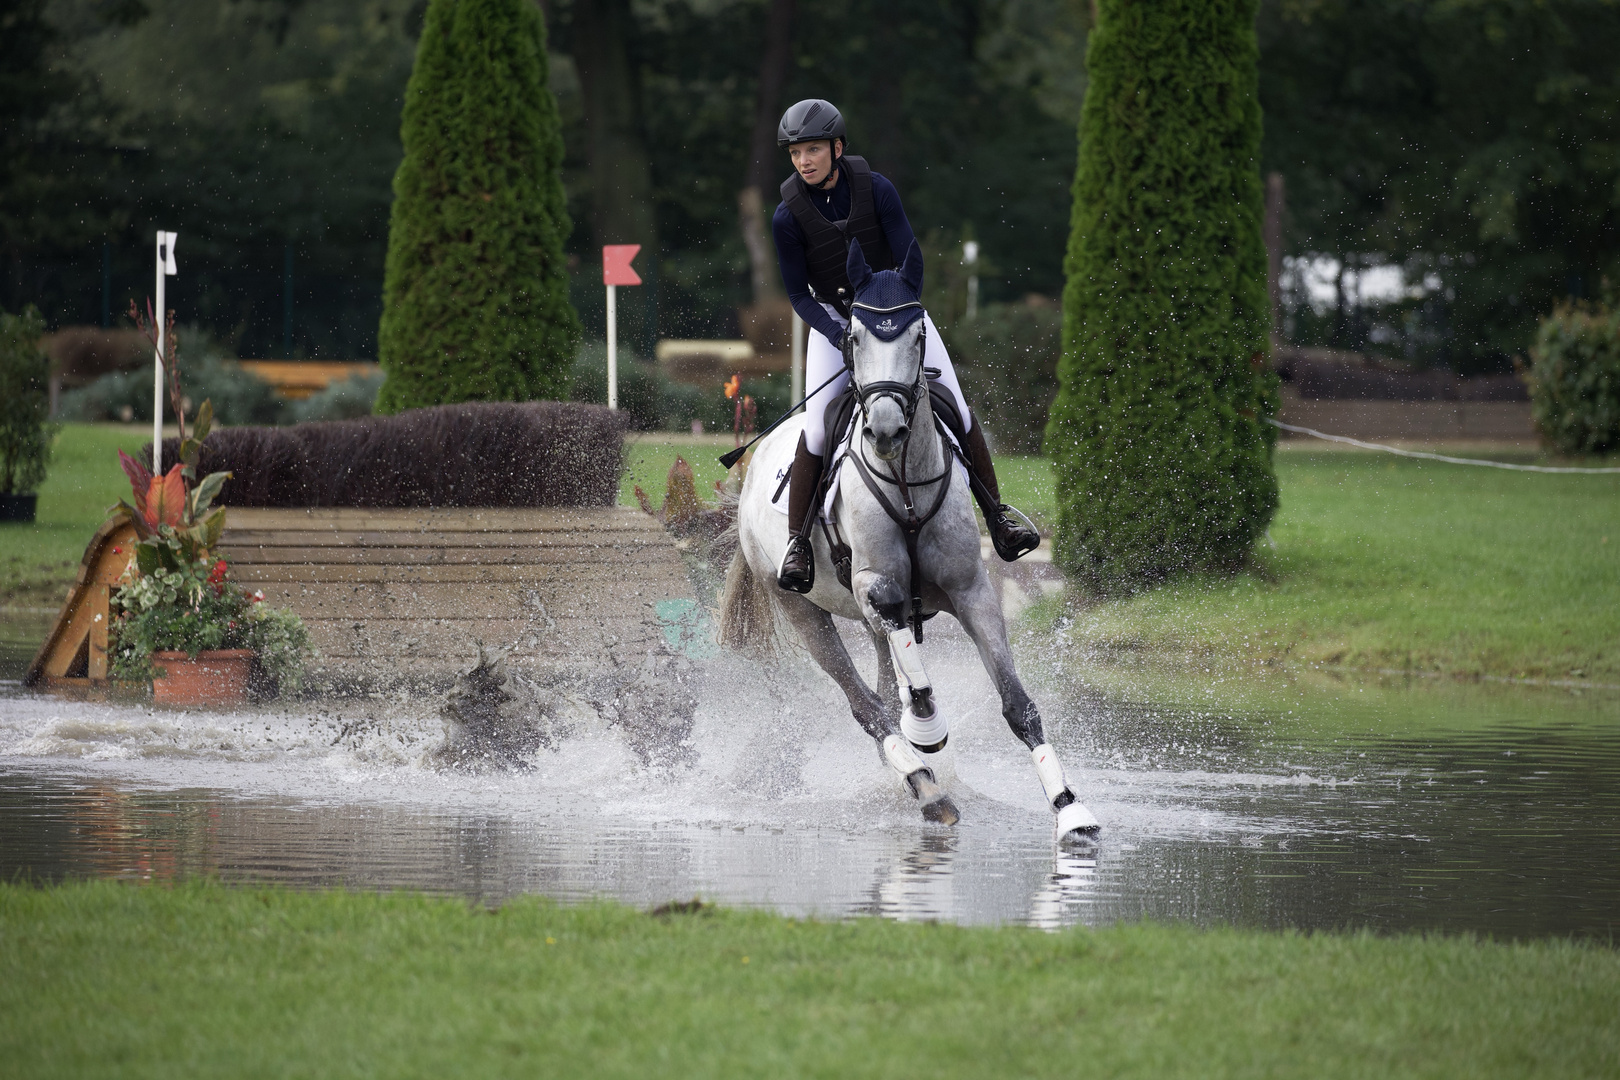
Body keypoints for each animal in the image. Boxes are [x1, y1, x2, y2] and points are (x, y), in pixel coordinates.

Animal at [722, 241, 1101, 848]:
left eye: (917, 333)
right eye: (854, 337)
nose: (884, 429)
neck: (904, 478)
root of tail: (752, 467)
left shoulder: (972, 593)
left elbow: (1018, 705)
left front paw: (1070, 809)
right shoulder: (872, 582)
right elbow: (899, 633)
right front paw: (927, 728)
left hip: (864, 622)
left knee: (884, 677)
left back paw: (918, 776)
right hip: (801, 609)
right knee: (867, 704)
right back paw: (927, 787)